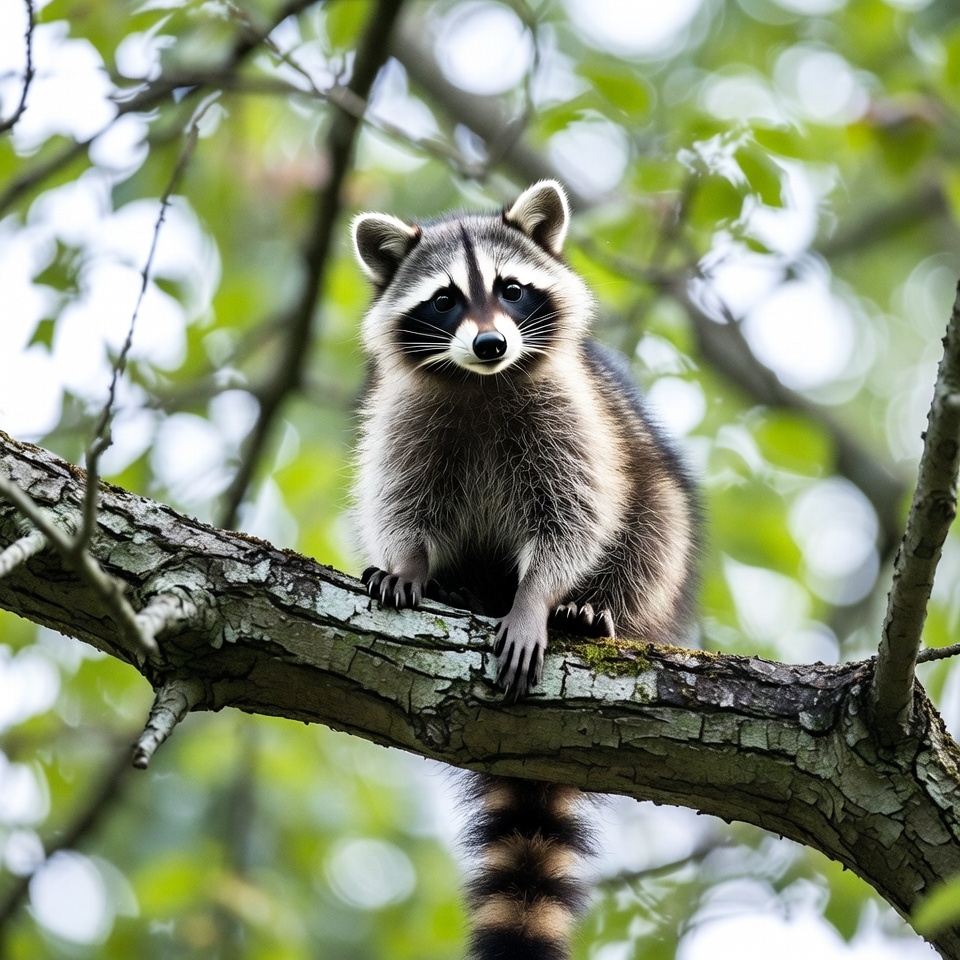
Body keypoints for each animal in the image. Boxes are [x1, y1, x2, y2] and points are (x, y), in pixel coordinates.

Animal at [351, 180, 699, 960]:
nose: (491, 343)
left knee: (654, 520)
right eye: (446, 300)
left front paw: (537, 599)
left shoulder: (572, 415)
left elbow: (574, 518)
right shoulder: (406, 417)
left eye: (511, 290)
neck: (483, 381)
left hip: (655, 512)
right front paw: (410, 564)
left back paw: (591, 609)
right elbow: (401, 500)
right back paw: (459, 585)